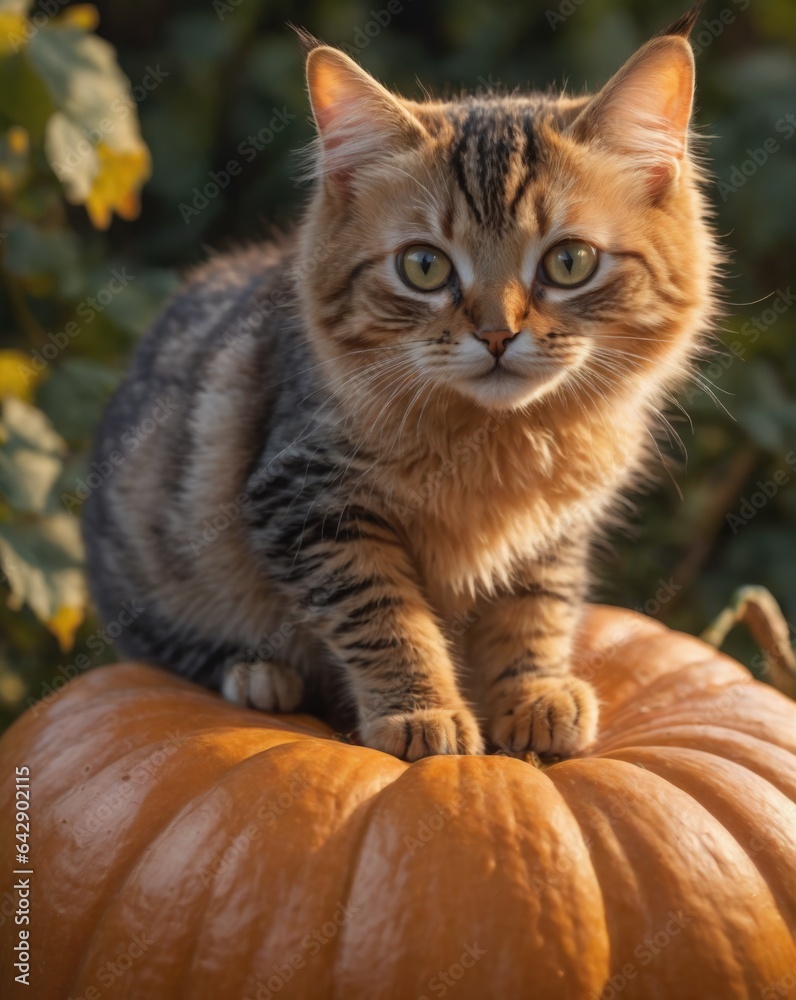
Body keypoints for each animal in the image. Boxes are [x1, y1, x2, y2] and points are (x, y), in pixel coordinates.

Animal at [84, 5, 720, 756]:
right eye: (424, 266)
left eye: (569, 263)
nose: (497, 334)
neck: (496, 443)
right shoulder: (309, 501)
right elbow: (385, 616)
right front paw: (423, 713)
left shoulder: (553, 532)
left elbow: (534, 613)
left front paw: (533, 699)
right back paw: (258, 674)